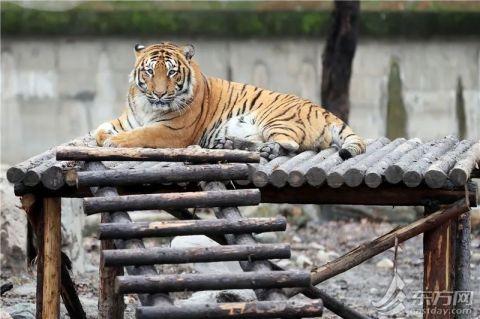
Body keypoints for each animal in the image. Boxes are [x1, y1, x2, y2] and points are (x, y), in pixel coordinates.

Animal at [94, 42, 366, 161]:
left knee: (290, 144)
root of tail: (326, 112)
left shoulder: (173, 131)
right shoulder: (129, 119)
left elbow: (140, 134)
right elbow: (101, 130)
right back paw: (228, 143)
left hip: (274, 118)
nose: (160, 94)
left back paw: (267, 150)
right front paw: (105, 135)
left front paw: (114, 142)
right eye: (149, 72)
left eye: (172, 72)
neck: (147, 106)